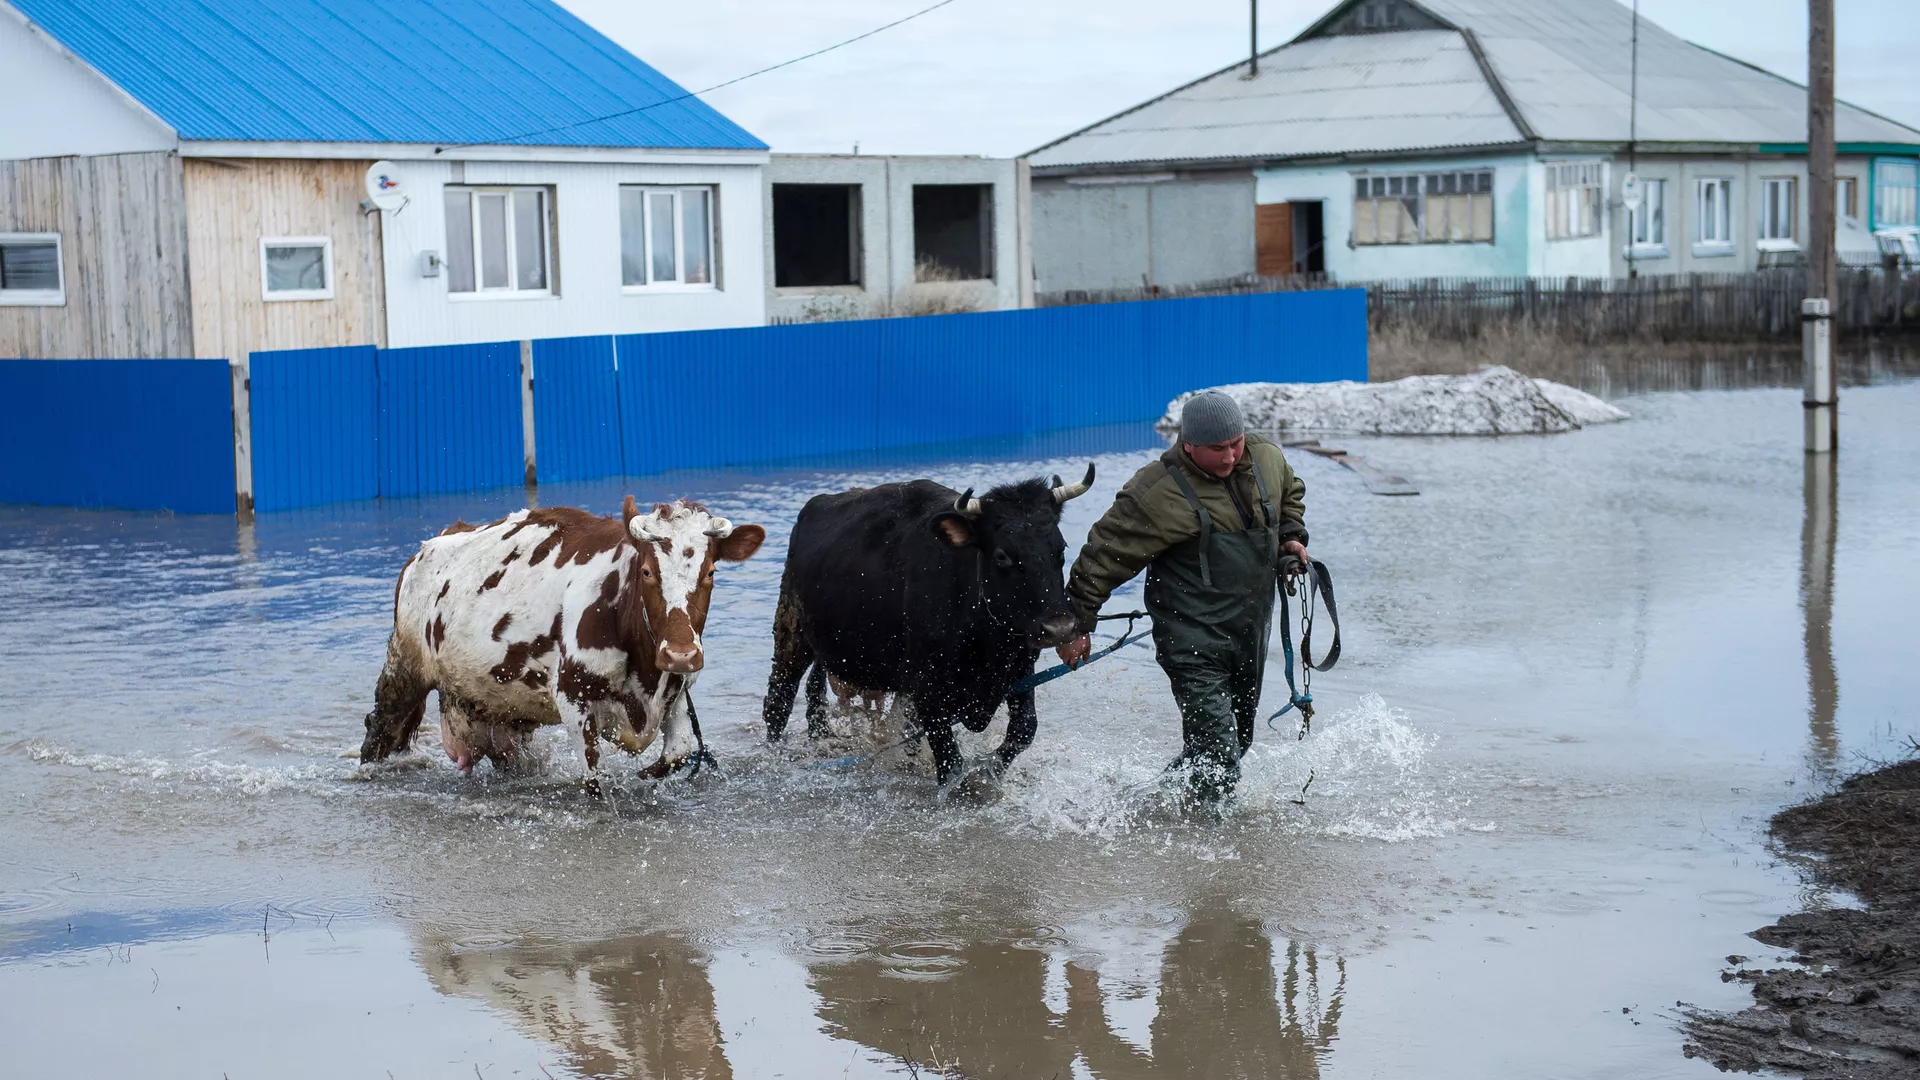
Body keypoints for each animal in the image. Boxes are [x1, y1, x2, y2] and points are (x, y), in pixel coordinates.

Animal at [360, 495, 764, 780]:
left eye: (710, 572)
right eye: (648, 571)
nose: (681, 653)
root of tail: (425, 549)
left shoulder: (678, 693)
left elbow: (677, 752)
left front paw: (644, 774)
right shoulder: (573, 698)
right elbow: (595, 780)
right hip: (403, 671)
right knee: (379, 731)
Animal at [764, 463, 1098, 780]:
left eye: (1060, 548)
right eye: (1002, 555)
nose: (1060, 628)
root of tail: (817, 505)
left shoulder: (1020, 669)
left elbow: (1024, 729)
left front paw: (990, 771)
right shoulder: (927, 687)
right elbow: (949, 760)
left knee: (816, 694)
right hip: (790, 632)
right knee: (778, 700)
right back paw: (774, 756)